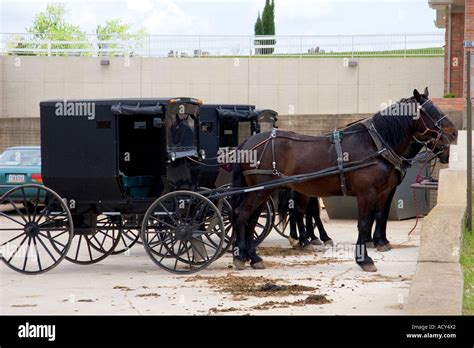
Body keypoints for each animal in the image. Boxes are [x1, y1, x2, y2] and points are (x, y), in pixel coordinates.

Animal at [231, 87, 458, 272]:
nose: (455, 133)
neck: (375, 145)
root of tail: (247, 143)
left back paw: (252, 256)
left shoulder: (383, 191)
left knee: (254, 219)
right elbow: (364, 223)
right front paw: (365, 258)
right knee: (243, 214)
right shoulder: (367, 193)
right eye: (431, 111)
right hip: (263, 190)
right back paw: (243, 256)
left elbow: (380, 215)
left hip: (263, 191)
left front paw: (378, 243)